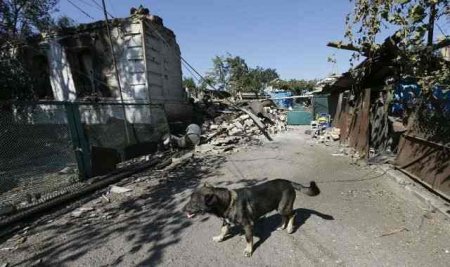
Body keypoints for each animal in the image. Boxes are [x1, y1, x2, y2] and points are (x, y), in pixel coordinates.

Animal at [182, 180, 320, 258]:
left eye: (194, 203)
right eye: (190, 200)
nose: (182, 210)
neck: (228, 202)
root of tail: (289, 183)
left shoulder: (248, 225)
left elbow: (249, 239)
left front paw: (248, 250)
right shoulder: (226, 222)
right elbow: (223, 231)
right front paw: (219, 238)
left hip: (283, 207)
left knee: (292, 214)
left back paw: (290, 228)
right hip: (278, 207)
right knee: (285, 217)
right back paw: (282, 226)